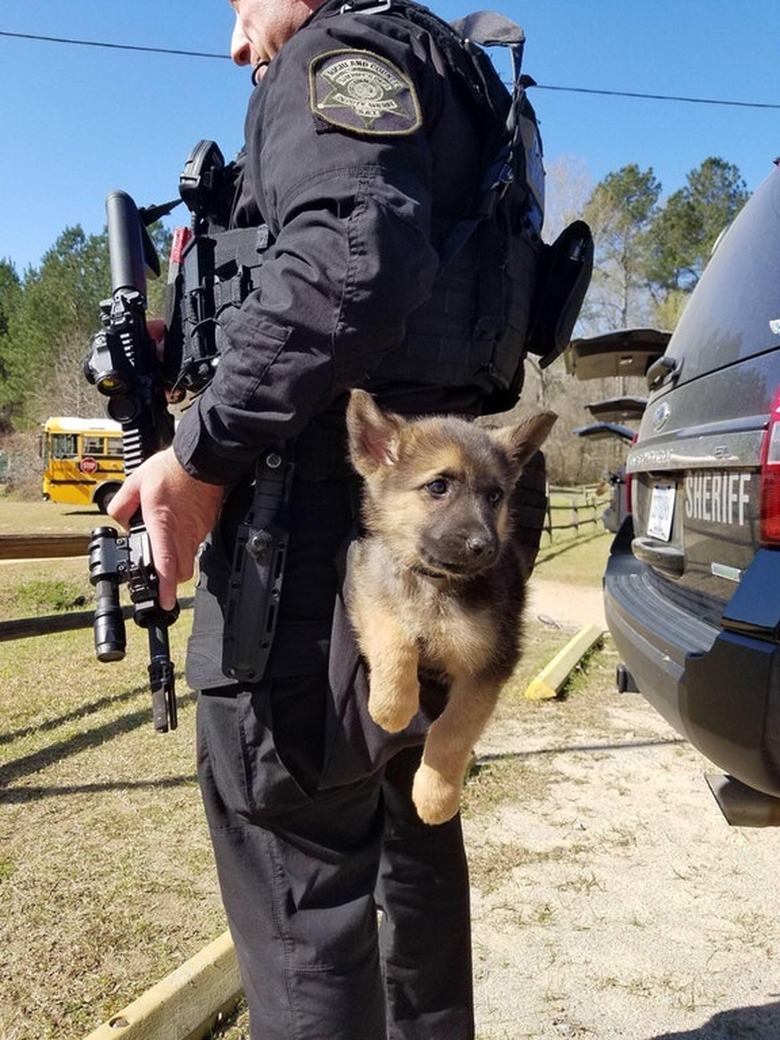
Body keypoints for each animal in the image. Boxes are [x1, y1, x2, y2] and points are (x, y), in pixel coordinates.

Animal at [347, 391, 557, 827]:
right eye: (438, 486)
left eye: (495, 496)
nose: (485, 547)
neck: (434, 585)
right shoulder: (367, 589)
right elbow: (393, 639)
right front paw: (392, 707)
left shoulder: (487, 668)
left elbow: (452, 731)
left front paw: (435, 797)